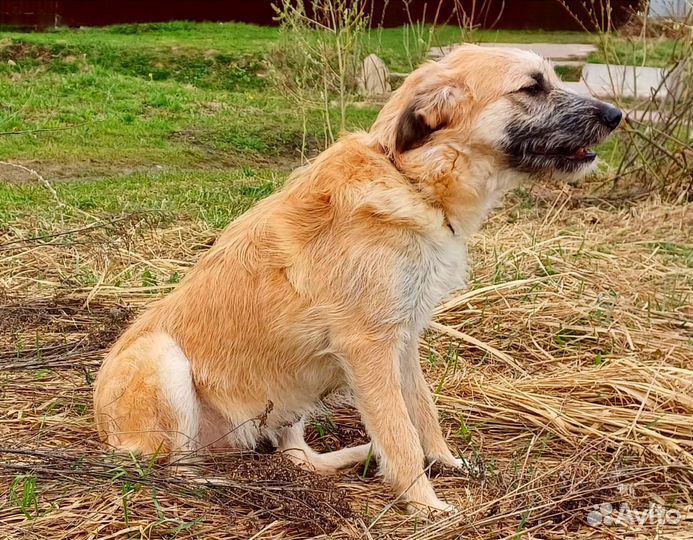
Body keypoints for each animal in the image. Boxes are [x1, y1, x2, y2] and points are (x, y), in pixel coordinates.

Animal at [93, 45, 620, 510]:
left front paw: (446, 464)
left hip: (293, 397)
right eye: (532, 86)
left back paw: (358, 456)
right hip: (162, 360)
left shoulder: (403, 340)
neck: (411, 179)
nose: (616, 115)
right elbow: (401, 432)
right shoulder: (368, 346)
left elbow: (422, 413)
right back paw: (222, 484)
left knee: (300, 458)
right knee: (173, 469)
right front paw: (426, 504)